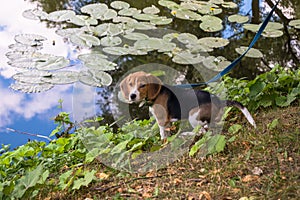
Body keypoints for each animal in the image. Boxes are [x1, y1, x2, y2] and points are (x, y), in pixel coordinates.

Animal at [119, 71, 255, 140]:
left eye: (142, 85)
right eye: (130, 84)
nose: (132, 96)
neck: (157, 93)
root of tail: (218, 100)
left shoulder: (161, 120)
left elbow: (162, 133)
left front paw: (163, 142)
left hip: (193, 116)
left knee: (201, 132)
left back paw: (186, 135)